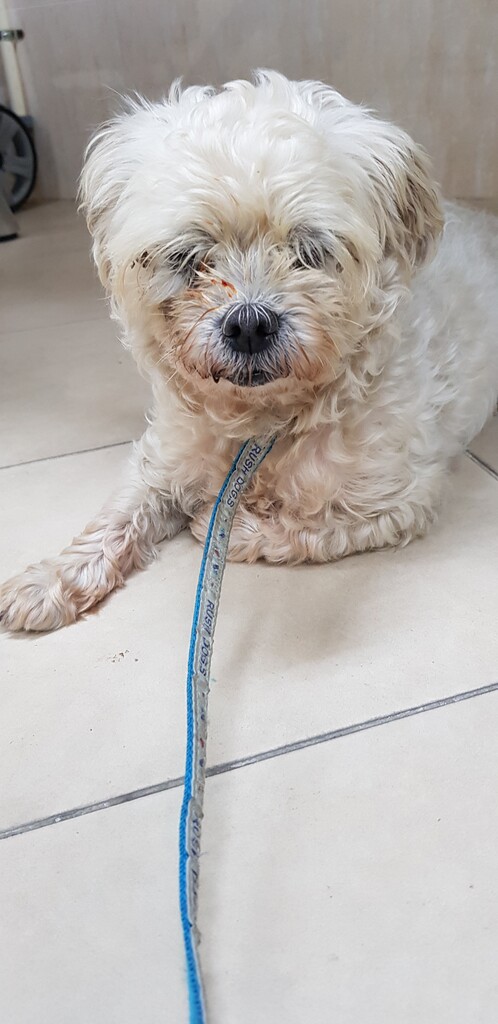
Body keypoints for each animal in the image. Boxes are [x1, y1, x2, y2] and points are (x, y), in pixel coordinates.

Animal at [1, 70, 497, 632]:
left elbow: (306, 529)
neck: (263, 423)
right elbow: (118, 516)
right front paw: (48, 580)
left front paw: (228, 527)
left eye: (311, 251)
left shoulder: (396, 503)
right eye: (186, 255)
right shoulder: (160, 461)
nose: (249, 326)